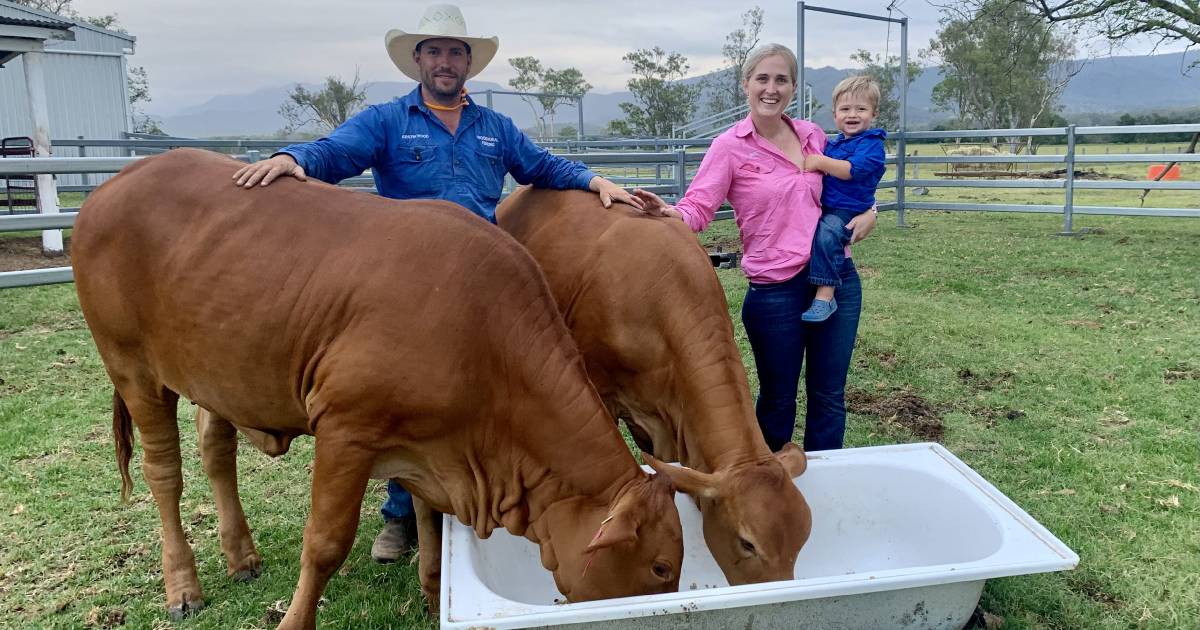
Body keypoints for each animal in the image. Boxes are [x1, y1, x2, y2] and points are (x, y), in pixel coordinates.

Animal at [72, 150, 686, 624]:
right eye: (660, 566)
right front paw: (295, 620)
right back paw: (184, 587)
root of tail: (115, 184)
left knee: (216, 452)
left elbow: (431, 525)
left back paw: (241, 556)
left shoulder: (430, 447)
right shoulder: (346, 430)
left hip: (216, 375)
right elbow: (324, 544)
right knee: (164, 474)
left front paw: (434, 594)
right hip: (133, 370)